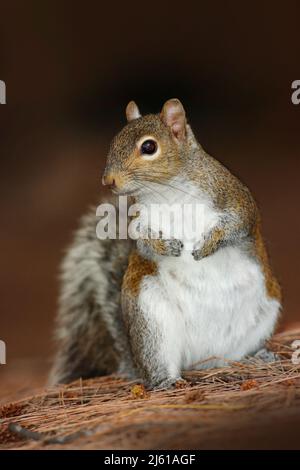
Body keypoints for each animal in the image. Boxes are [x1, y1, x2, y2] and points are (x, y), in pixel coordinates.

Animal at [49, 98, 282, 390]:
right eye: (114, 141)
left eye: (149, 147)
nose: (108, 180)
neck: (168, 191)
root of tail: (203, 358)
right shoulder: (139, 223)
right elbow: (144, 244)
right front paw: (168, 247)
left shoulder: (233, 196)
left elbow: (239, 222)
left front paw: (207, 245)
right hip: (152, 321)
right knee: (159, 364)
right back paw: (167, 381)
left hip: (264, 315)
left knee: (234, 355)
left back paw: (257, 358)